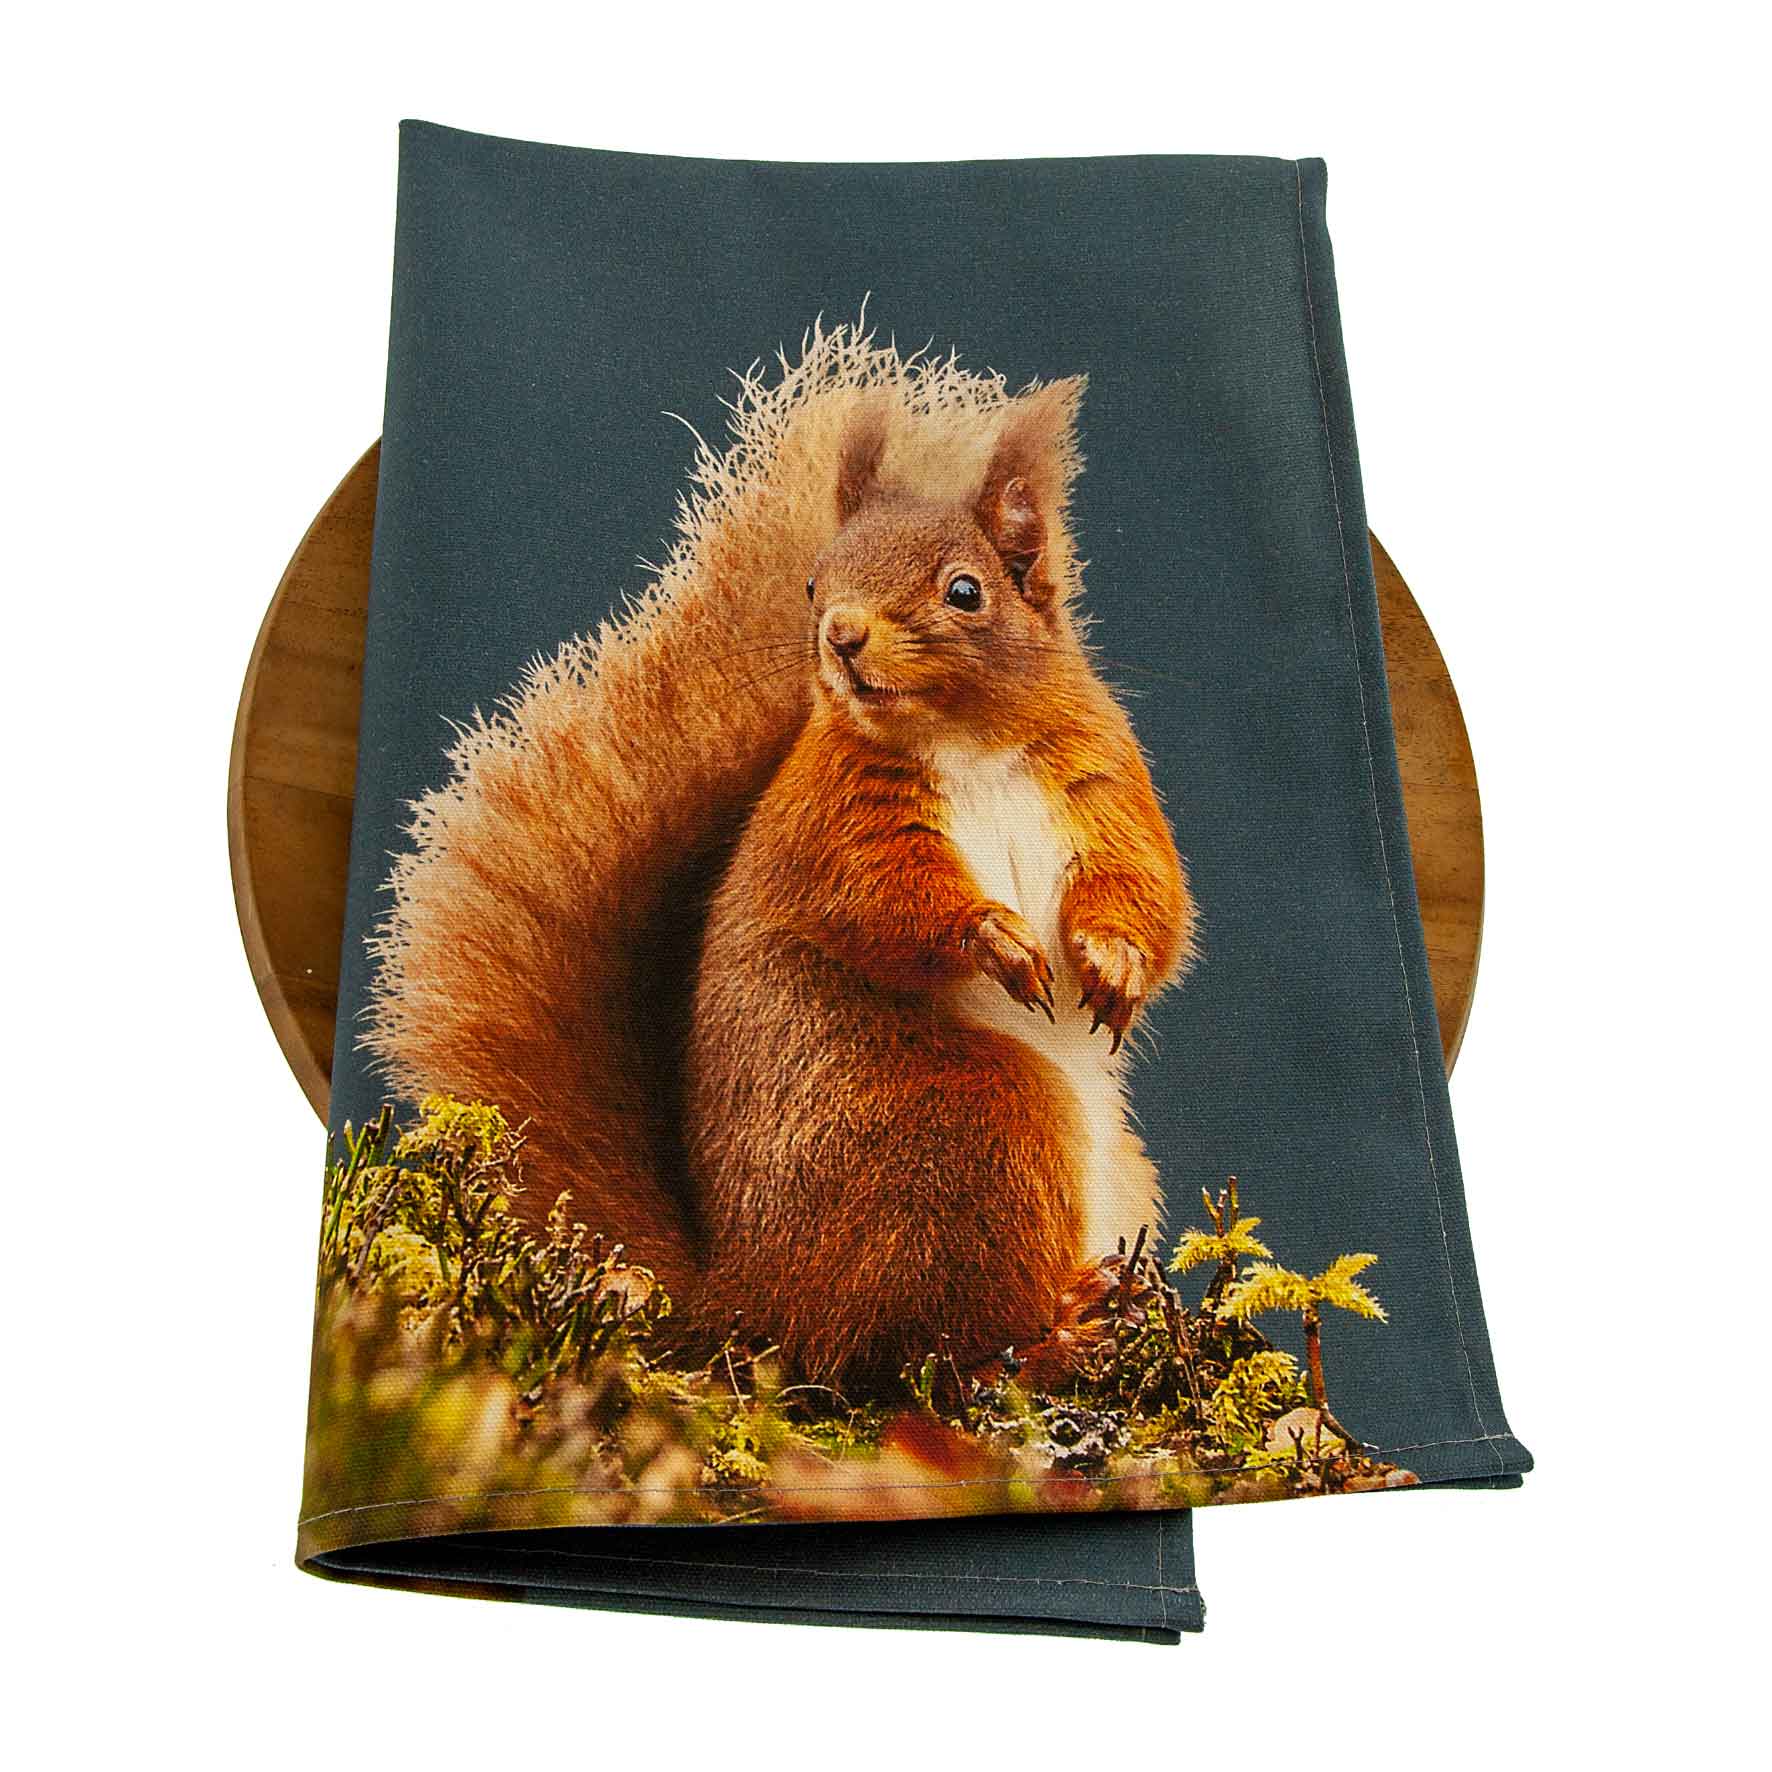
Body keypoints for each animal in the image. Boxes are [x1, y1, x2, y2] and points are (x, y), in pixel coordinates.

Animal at [365, 324, 1195, 1393]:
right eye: (813, 580)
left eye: (965, 591)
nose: (840, 635)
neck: (966, 738)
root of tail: (751, 1298)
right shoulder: (836, 819)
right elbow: (884, 902)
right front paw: (995, 937)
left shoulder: (1103, 782)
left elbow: (1146, 890)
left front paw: (1115, 962)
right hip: (978, 1134)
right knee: (931, 1353)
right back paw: (1058, 1335)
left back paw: (1104, 1299)